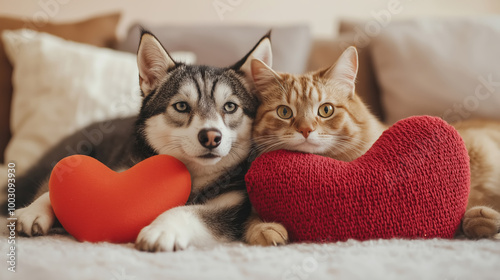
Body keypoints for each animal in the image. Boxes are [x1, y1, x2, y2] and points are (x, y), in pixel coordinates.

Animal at [9, 30, 288, 252]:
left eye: (230, 107)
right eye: (181, 106)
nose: (211, 136)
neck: (193, 176)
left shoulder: (230, 206)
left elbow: (187, 211)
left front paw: (161, 229)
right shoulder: (120, 170)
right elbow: (54, 189)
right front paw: (34, 210)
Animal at [246, 46, 500, 245]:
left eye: (326, 110)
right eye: (284, 112)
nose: (306, 129)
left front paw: (479, 218)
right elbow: (250, 221)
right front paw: (262, 228)